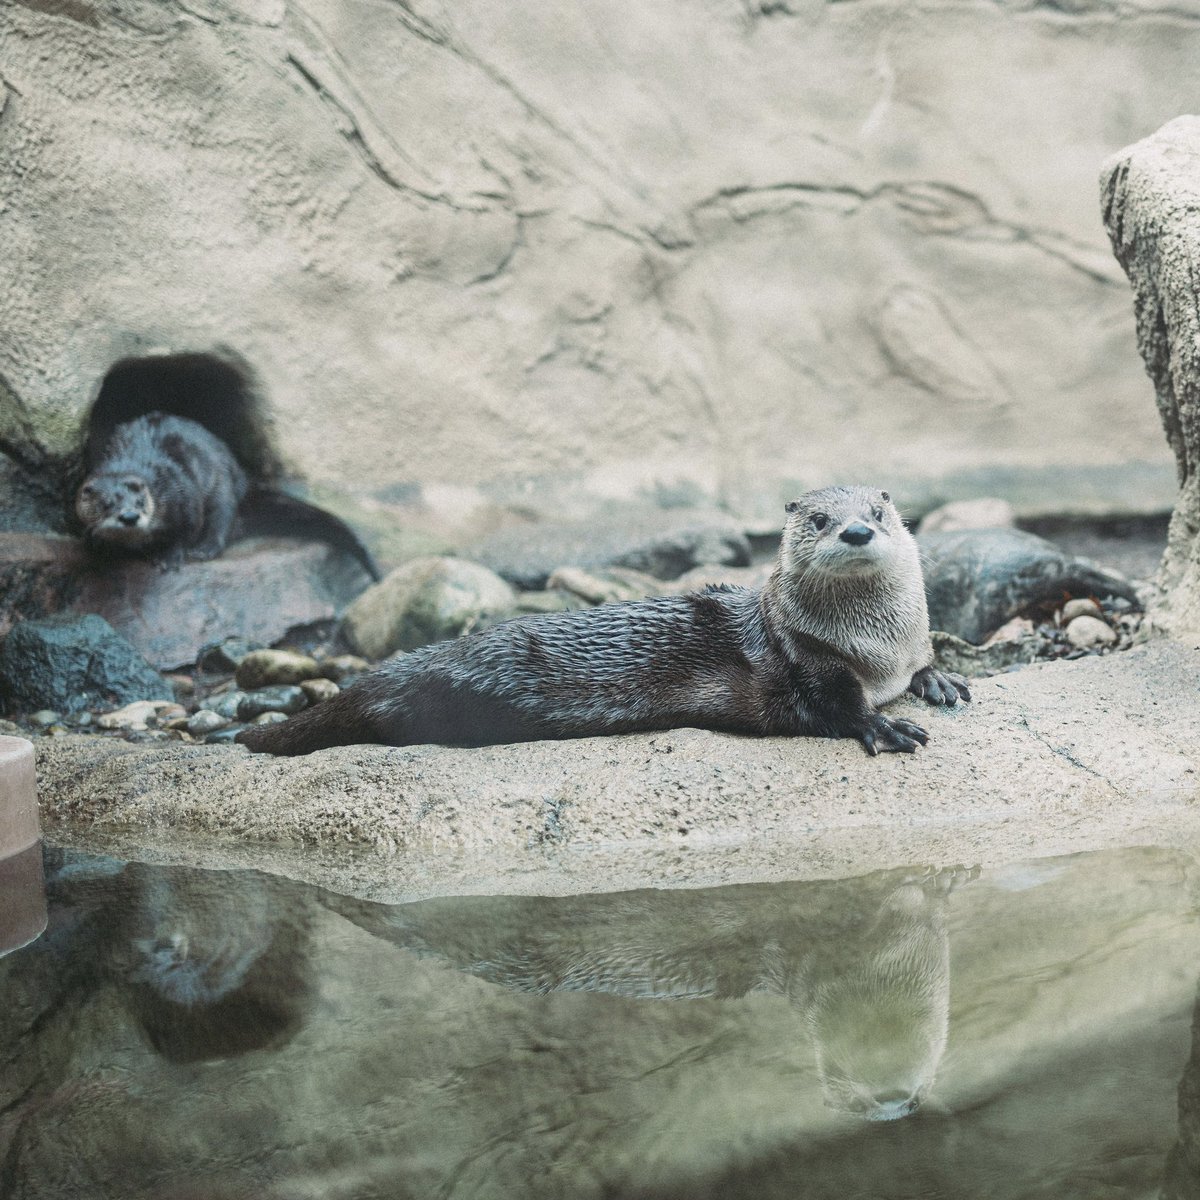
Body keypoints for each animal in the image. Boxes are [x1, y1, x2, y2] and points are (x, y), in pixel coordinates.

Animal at [75, 412, 380, 578]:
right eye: (106, 504)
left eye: (139, 501)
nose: (129, 516)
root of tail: (243, 478)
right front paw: (99, 548)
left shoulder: (183, 496)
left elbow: (185, 531)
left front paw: (169, 557)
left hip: (223, 486)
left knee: (223, 521)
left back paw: (206, 548)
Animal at [238, 486, 968, 757]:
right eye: (817, 518)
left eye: (879, 511)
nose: (854, 530)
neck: (875, 648)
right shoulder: (808, 661)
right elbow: (835, 706)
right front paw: (884, 725)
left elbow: (924, 663)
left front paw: (937, 680)